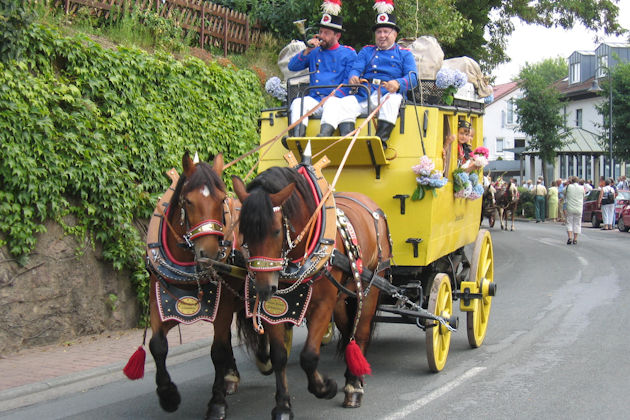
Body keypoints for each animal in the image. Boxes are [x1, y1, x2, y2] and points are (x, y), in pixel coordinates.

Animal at [147, 153, 246, 420]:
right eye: (188, 202)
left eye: (221, 199)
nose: (208, 254)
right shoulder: (160, 298)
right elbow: (157, 345)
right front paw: (168, 395)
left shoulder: (222, 306)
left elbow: (218, 351)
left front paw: (216, 403)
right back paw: (231, 376)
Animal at [232, 166, 390, 418]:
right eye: (243, 231)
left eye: (276, 231)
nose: (264, 289)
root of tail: (370, 203)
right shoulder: (274, 309)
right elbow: (279, 356)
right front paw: (283, 405)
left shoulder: (322, 305)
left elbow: (308, 356)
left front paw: (325, 387)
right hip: (342, 298)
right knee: (348, 331)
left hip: (373, 285)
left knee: (361, 332)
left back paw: (354, 385)